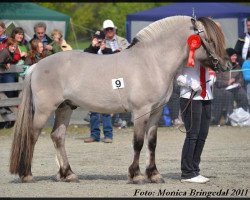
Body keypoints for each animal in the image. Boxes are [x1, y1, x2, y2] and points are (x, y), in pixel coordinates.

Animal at [9, 16, 229, 184]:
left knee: (58, 137)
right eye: (208, 39)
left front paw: (154, 175)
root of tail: (36, 66)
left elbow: (152, 143)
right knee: (32, 136)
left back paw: (68, 174)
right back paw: (26, 175)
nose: (226, 66)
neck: (152, 61)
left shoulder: (156, 112)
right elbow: (138, 142)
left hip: (65, 108)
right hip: (44, 110)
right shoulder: (141, 111)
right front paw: (137, 176)